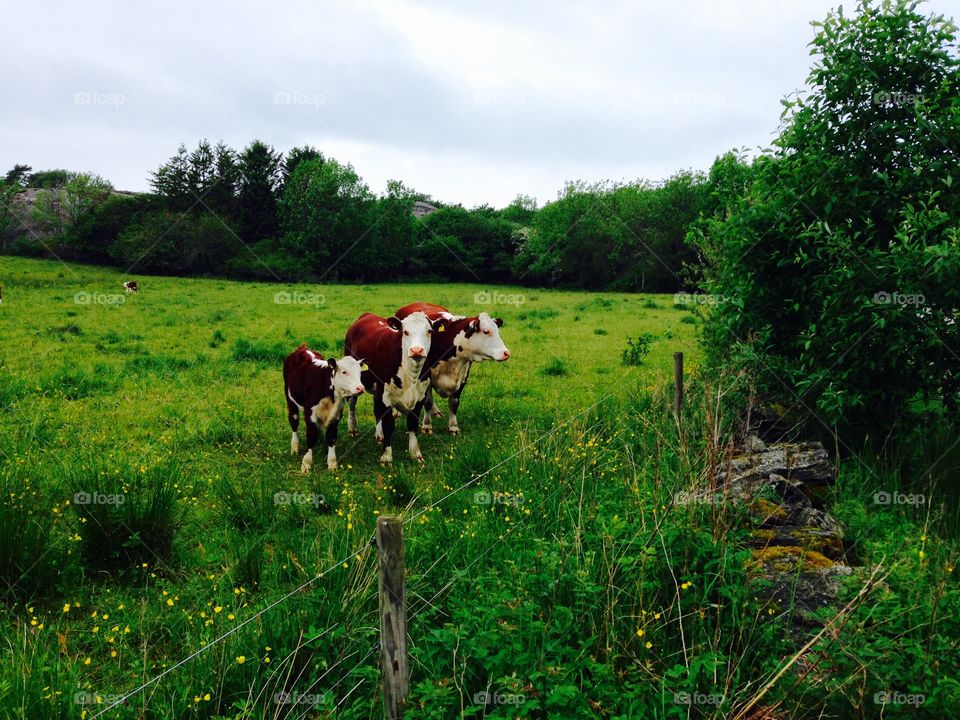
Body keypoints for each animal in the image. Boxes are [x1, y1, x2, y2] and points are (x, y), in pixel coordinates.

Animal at [283, 344, 365, 473]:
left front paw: (332, 464)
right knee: (294, 422)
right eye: (344, 372)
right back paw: (294, 447)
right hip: (290, 401)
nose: (360, 388)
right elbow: (311, 437)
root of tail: (303, 347)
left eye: (360, 372)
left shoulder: (336, 416)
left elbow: (331, 438)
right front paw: (306, 464)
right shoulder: (309, 414)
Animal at [343, 311, 439, 464]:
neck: (410, 376)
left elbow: (412, 424)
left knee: (377, 410)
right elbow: (388, 425)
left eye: (429, 331)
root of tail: (366, 315)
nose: (416, 350)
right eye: (405, 332)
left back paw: (379, 435)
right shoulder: (385, 396)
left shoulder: (420, 397)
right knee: (352, 404)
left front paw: (415, 453)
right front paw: (386, 456)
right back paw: (352, 428)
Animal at [394, 303, 510, 435]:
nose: (506, 353)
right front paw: (427, 425)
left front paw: (453, 427)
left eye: (497, 331)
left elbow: (454, 403)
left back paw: (435, 411)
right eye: (486, 331)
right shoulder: (426, 376)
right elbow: (427, 402)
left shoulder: (463, 378)